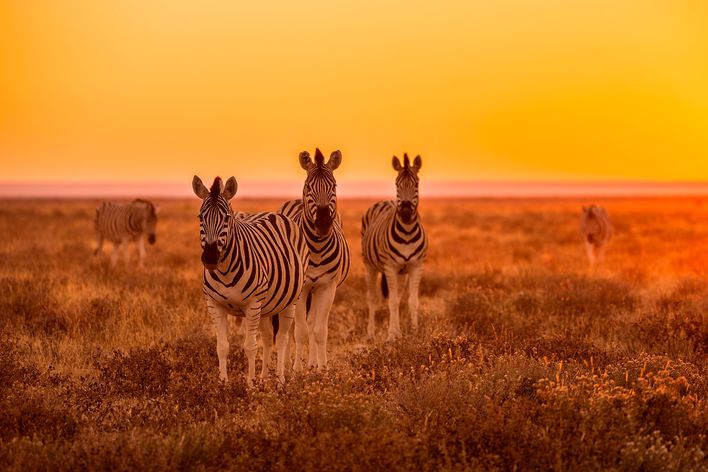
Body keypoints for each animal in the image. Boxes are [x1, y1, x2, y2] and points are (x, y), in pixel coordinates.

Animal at [192, 175, 308, 383]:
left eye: (227, 218)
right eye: (200, 217)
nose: (210, 258)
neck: (225, 271)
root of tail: (274, 214)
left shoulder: (252, 305)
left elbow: (250, 347)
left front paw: (250, 385)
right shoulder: (214, 305)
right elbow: (222, 346)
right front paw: (223, 384)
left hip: (290, 301)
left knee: (282, 339)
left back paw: (280, 380)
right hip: (267, 305)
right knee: (269, 337)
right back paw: (264, 379)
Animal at [278, 148, 350, 372]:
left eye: (334, 186)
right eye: (309, 187)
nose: (323, 224)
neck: (317, 248)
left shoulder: (327, 287)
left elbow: (319, 330)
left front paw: (322, 369)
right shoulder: (302, 289)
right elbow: (300, 331)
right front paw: (296, 371)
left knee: (311, 323)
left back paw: (312, 363)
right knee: (290, 326)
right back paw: (287, 364)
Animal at [361, 153, 428, 340]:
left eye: (416, 184)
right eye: (397, 184)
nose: (405, 211)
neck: (407, 233)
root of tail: (385, 201)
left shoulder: (416, 266)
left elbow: (412, 301)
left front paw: (414, 332)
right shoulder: (390, 267)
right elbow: (391, 302)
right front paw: (391, 336)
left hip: (401, 273)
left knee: (397, 298)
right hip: (369, 265)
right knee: (372, 298)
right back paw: (370, 334)